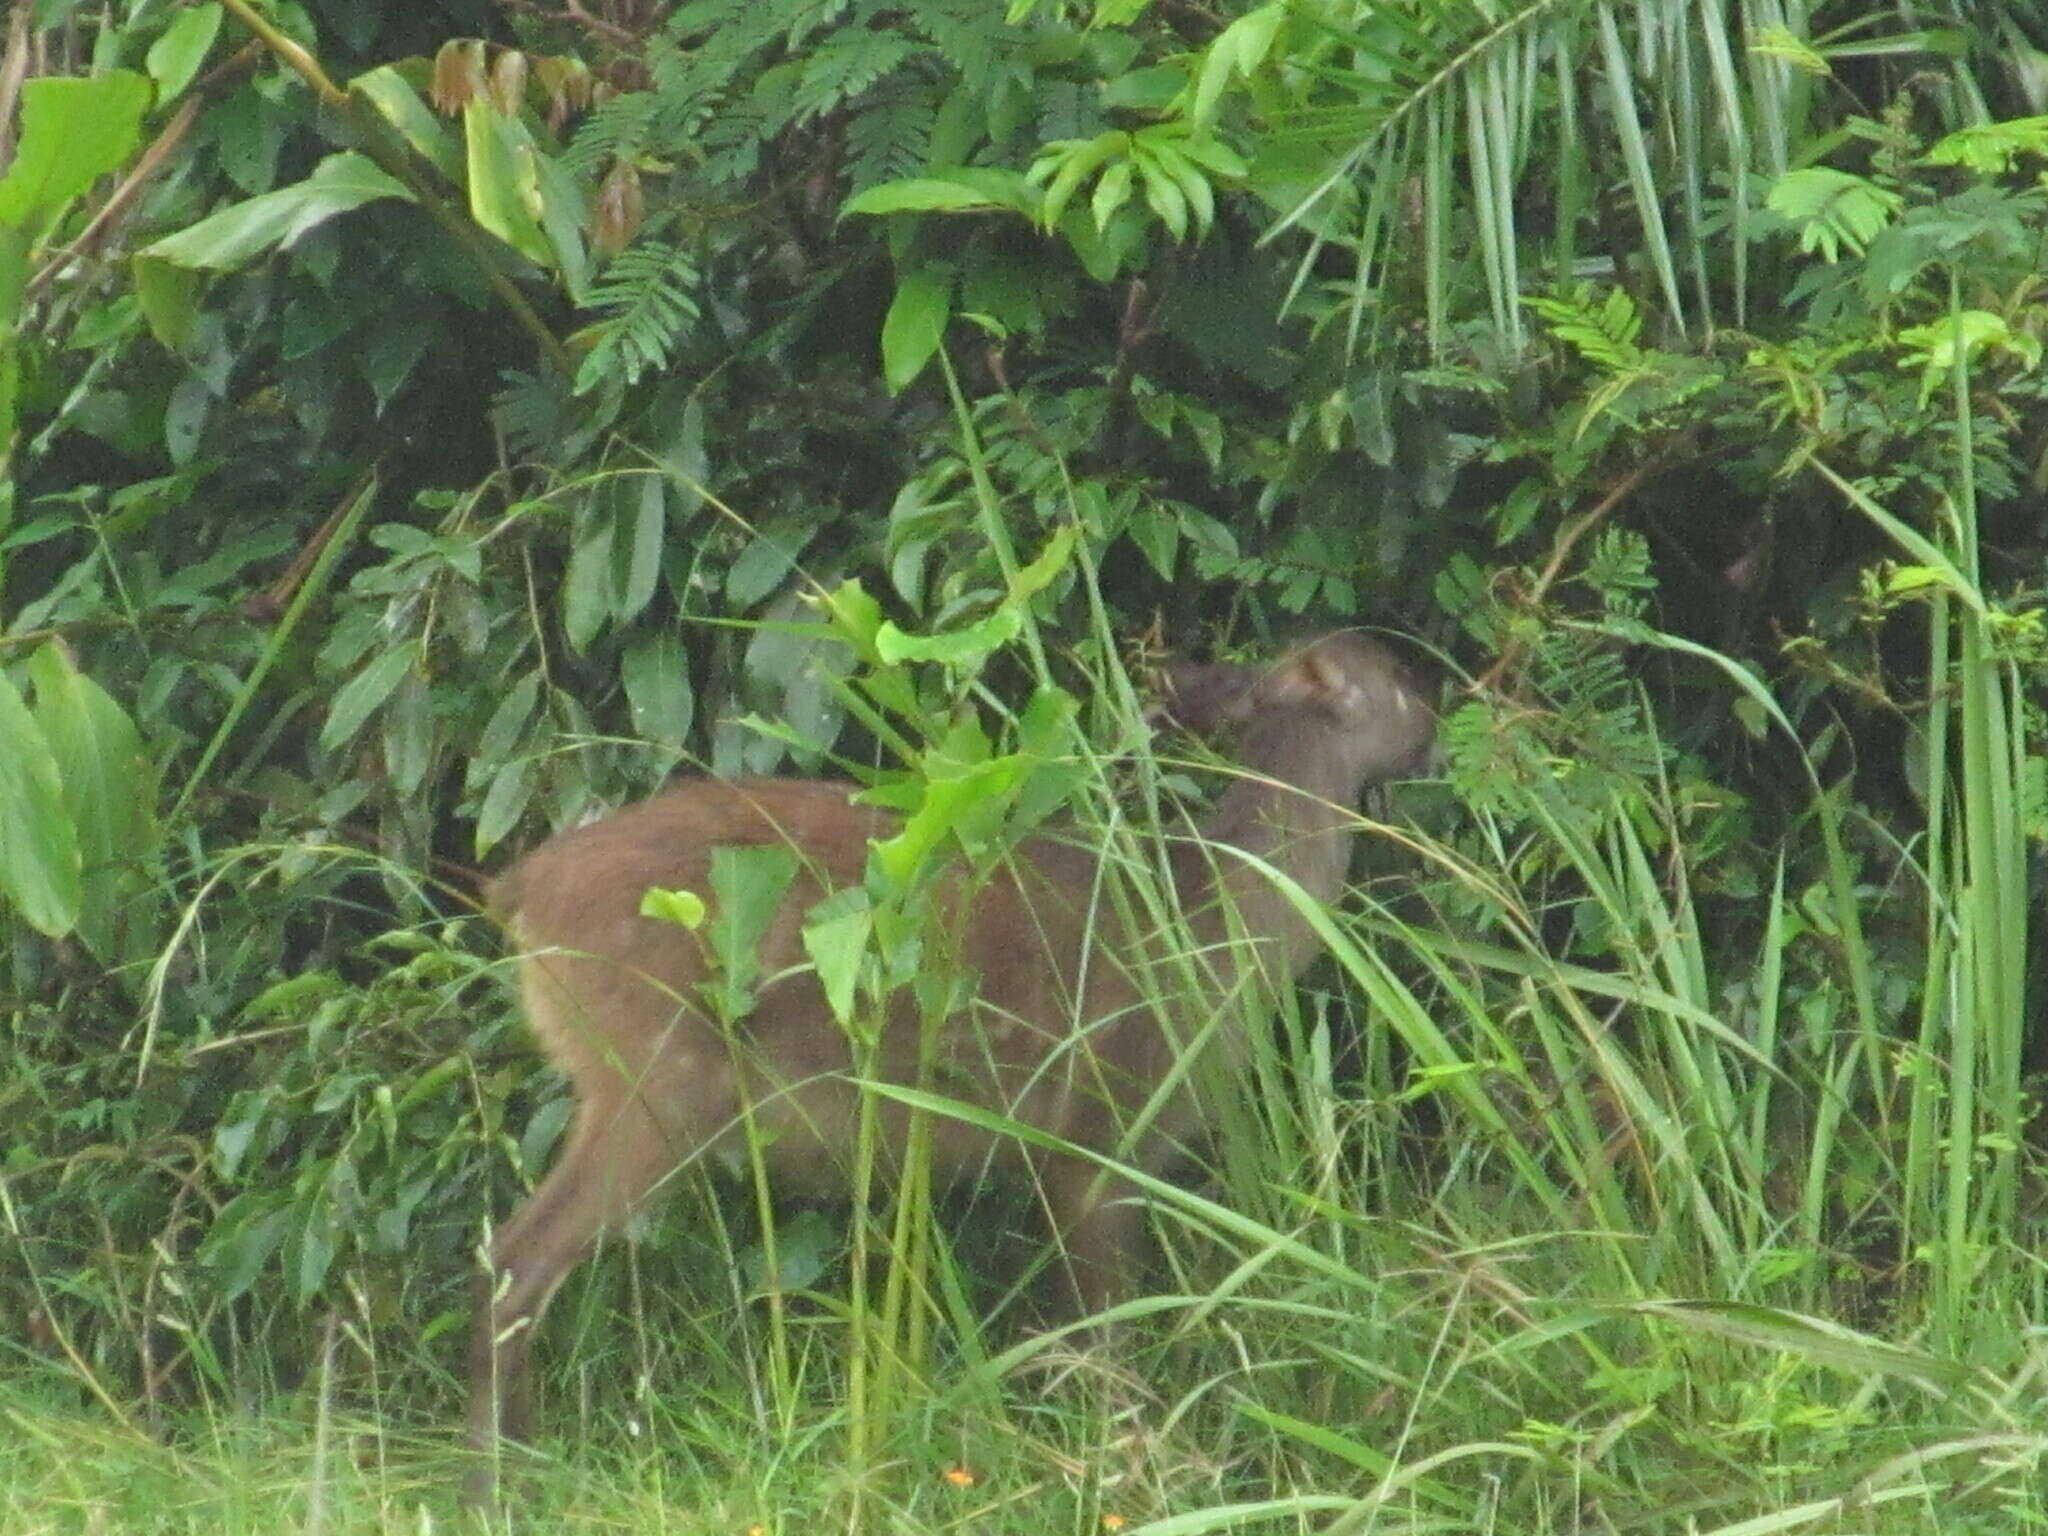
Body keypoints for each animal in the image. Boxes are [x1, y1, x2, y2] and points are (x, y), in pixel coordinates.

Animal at [468, 630, 1433, 1499]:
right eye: (1398, 674)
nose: (1439, 718)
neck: (1206, 942)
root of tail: (517, 892)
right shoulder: (1100, 1126)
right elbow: (1103, 1326)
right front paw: (1124, 1465)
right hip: (655, 1075)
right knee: (517, 1256)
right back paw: (501, 1483)